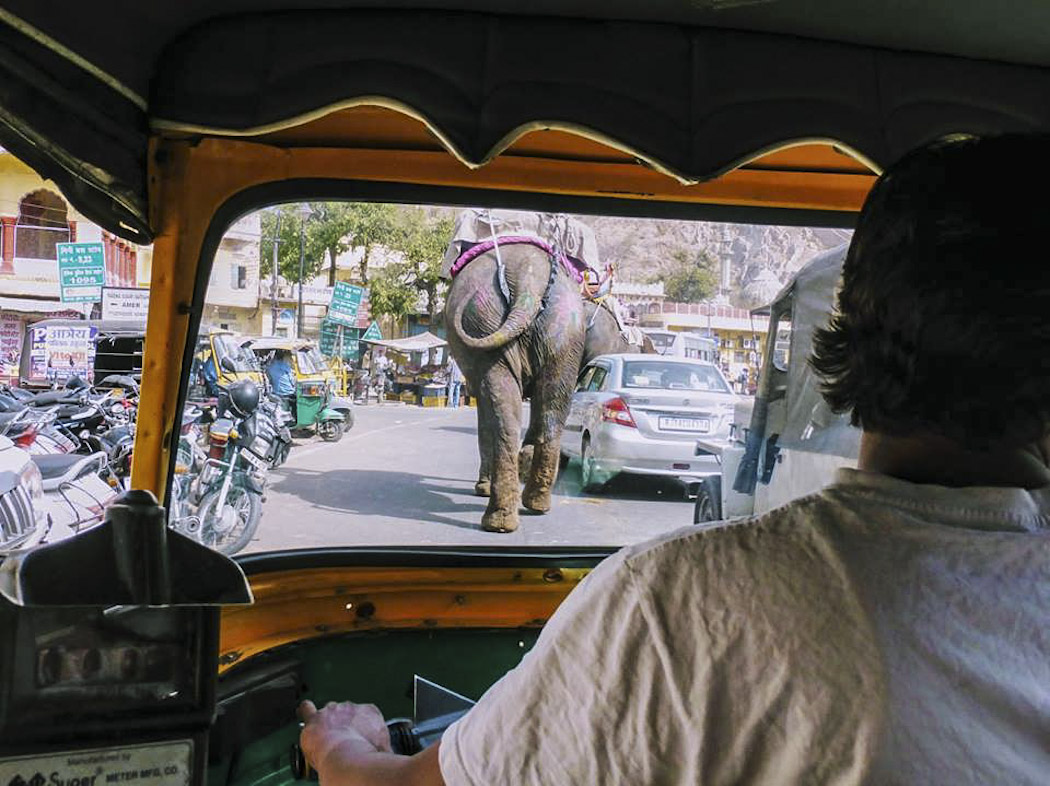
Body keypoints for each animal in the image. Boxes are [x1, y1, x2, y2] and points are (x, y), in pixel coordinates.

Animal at [445, 242, 588, 530]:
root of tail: (528, 277)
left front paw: (483, 487)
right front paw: (526, 457)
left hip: (482, 318)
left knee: (502, 411)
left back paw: (497, 520)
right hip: (563, 330)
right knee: (552, 410)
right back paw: (535, 504)